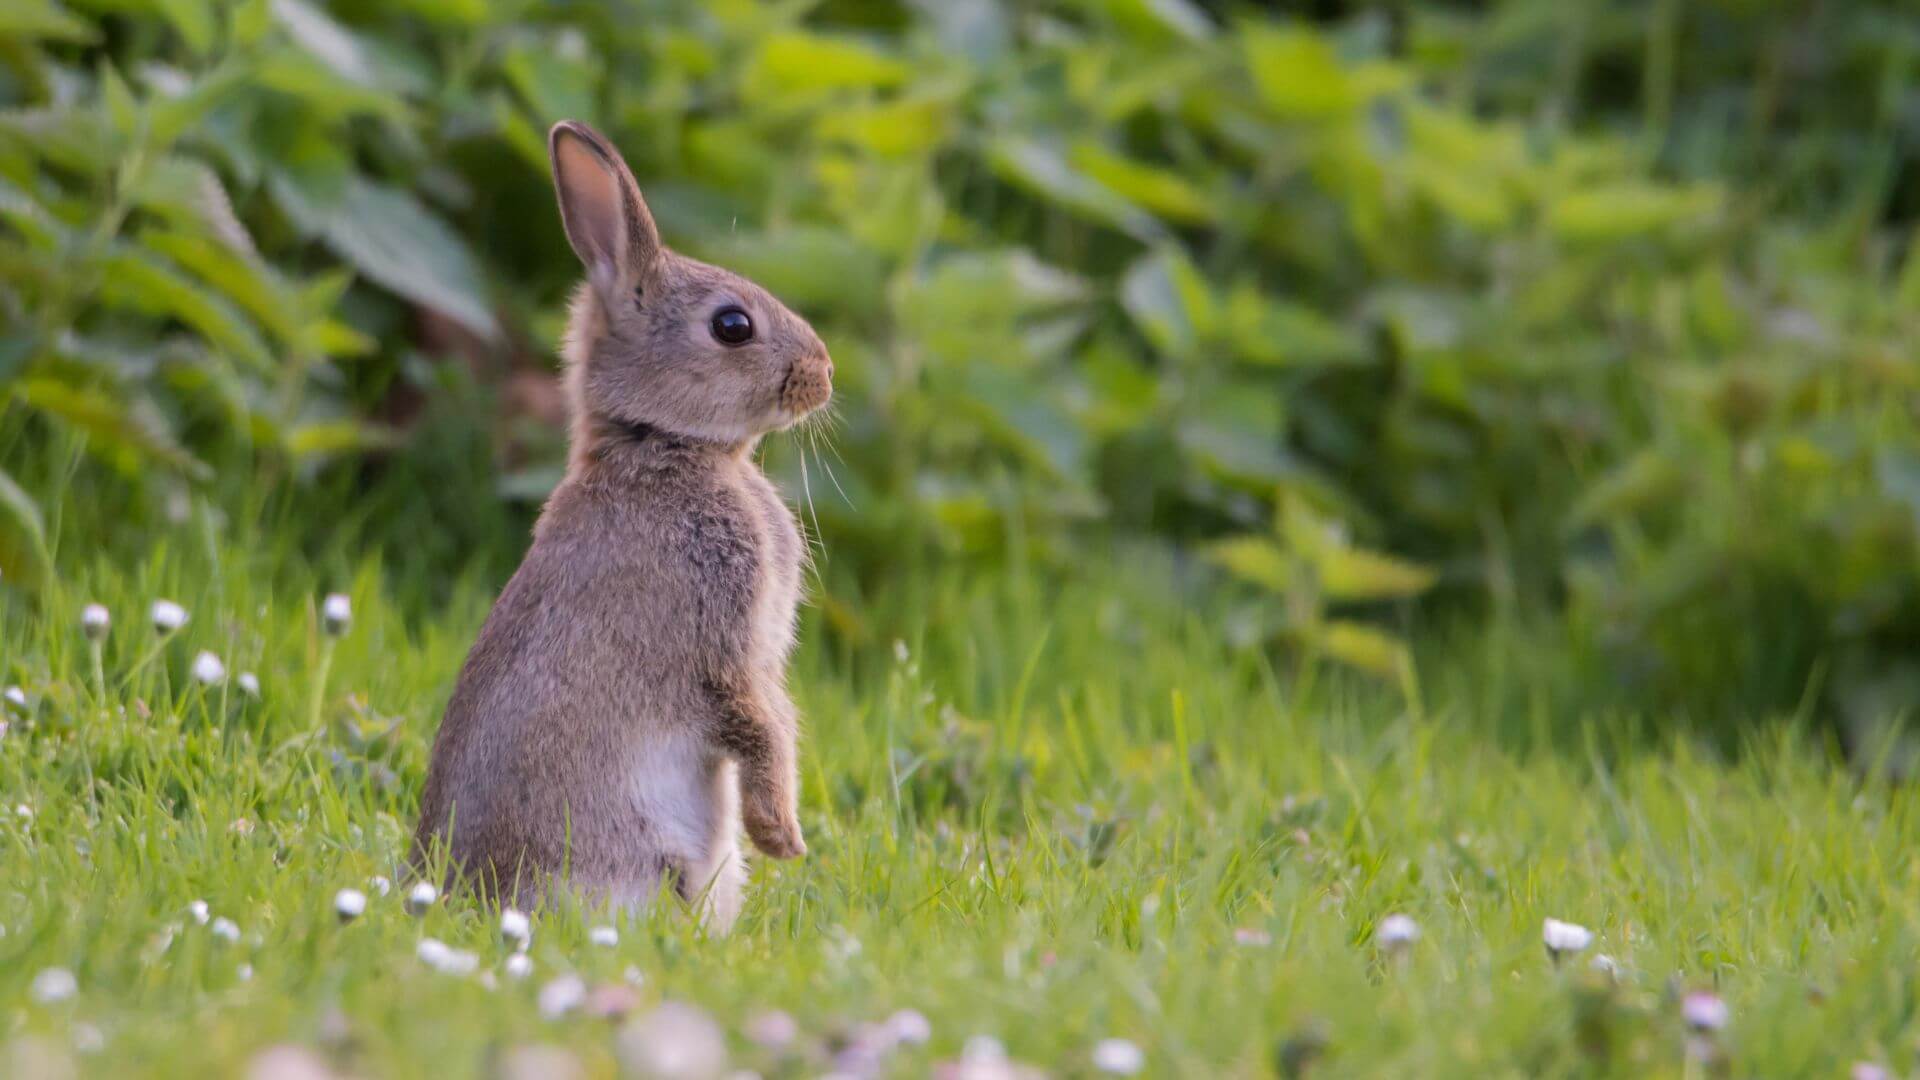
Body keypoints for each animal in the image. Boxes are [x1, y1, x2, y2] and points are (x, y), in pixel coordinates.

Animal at [412, 119, 833, 926]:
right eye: (732, 325)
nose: (824, 374)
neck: (659, 446)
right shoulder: (721, 642)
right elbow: (758, 723)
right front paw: (783, 837)